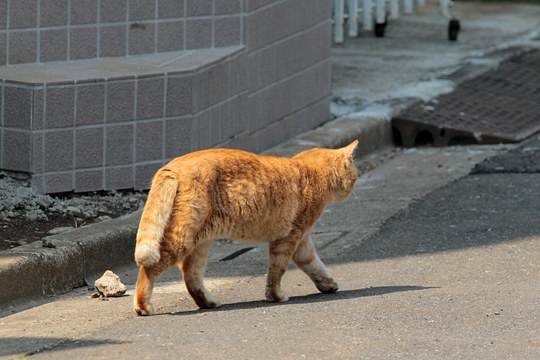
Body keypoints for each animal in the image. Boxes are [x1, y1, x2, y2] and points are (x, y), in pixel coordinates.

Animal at [134, 141, 358, 316]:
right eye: (354, 175)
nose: (355, 185)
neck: (312, 171)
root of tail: (172, 166)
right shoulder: (289, 238)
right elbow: (277, 271)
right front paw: (275, 296)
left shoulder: (301, 242)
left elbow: (314, 264)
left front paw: (328, 283)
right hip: (182, 240)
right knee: (150, 269)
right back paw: (143, 306)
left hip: (201, 244)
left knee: (191, 276)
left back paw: (208, 302)